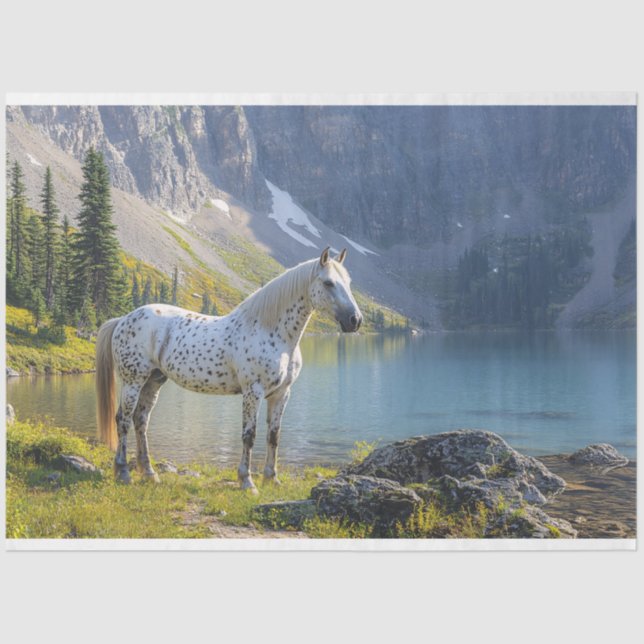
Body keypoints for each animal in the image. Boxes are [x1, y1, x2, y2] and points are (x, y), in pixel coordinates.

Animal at [95, 246, 362, 492]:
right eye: (328, 282)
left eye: (349, 283)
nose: (355, 320)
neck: (271, 331)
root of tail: (123, 319)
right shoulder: (253, 391)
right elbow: (249, 435)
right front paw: (247, 482)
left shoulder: (281, 394)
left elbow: (273, 435)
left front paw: (271, 479)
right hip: (133, 381)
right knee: (123, 420)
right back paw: (124, 472)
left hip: (154, 380)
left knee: (141, 420)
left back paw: (150, 473)